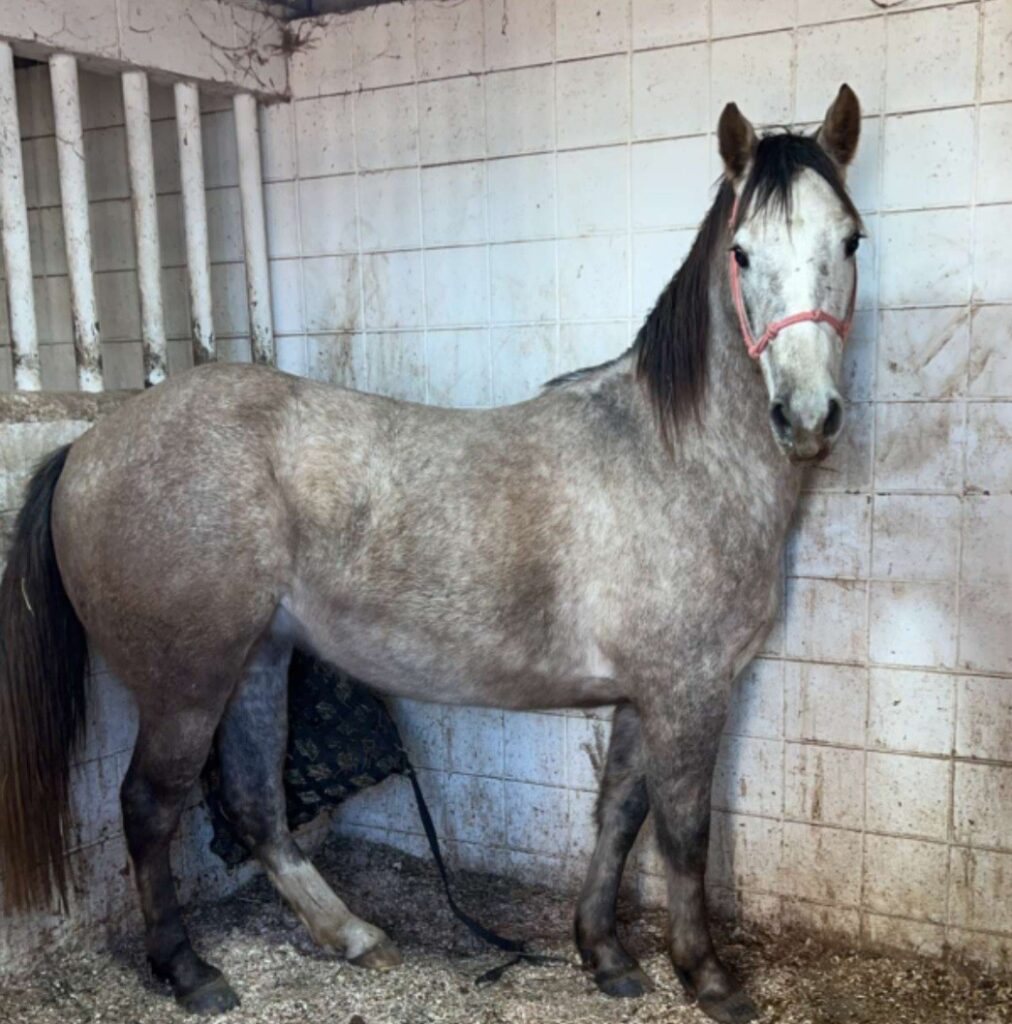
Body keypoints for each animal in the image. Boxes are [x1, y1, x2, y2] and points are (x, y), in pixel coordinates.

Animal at [0, 85, 863, 1024]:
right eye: (743, 254)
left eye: (850, 240)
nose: (807, 417)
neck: (671, 456)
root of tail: (88, 444)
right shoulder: (689, 692)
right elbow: (683, 834)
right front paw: (707, 976)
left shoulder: (647, 696)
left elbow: (618, 816)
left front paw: (604, 955)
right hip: (185, 682)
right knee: (150, 807)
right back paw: (189, 970)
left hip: (258, 660)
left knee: (258, 806)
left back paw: (350, 936)